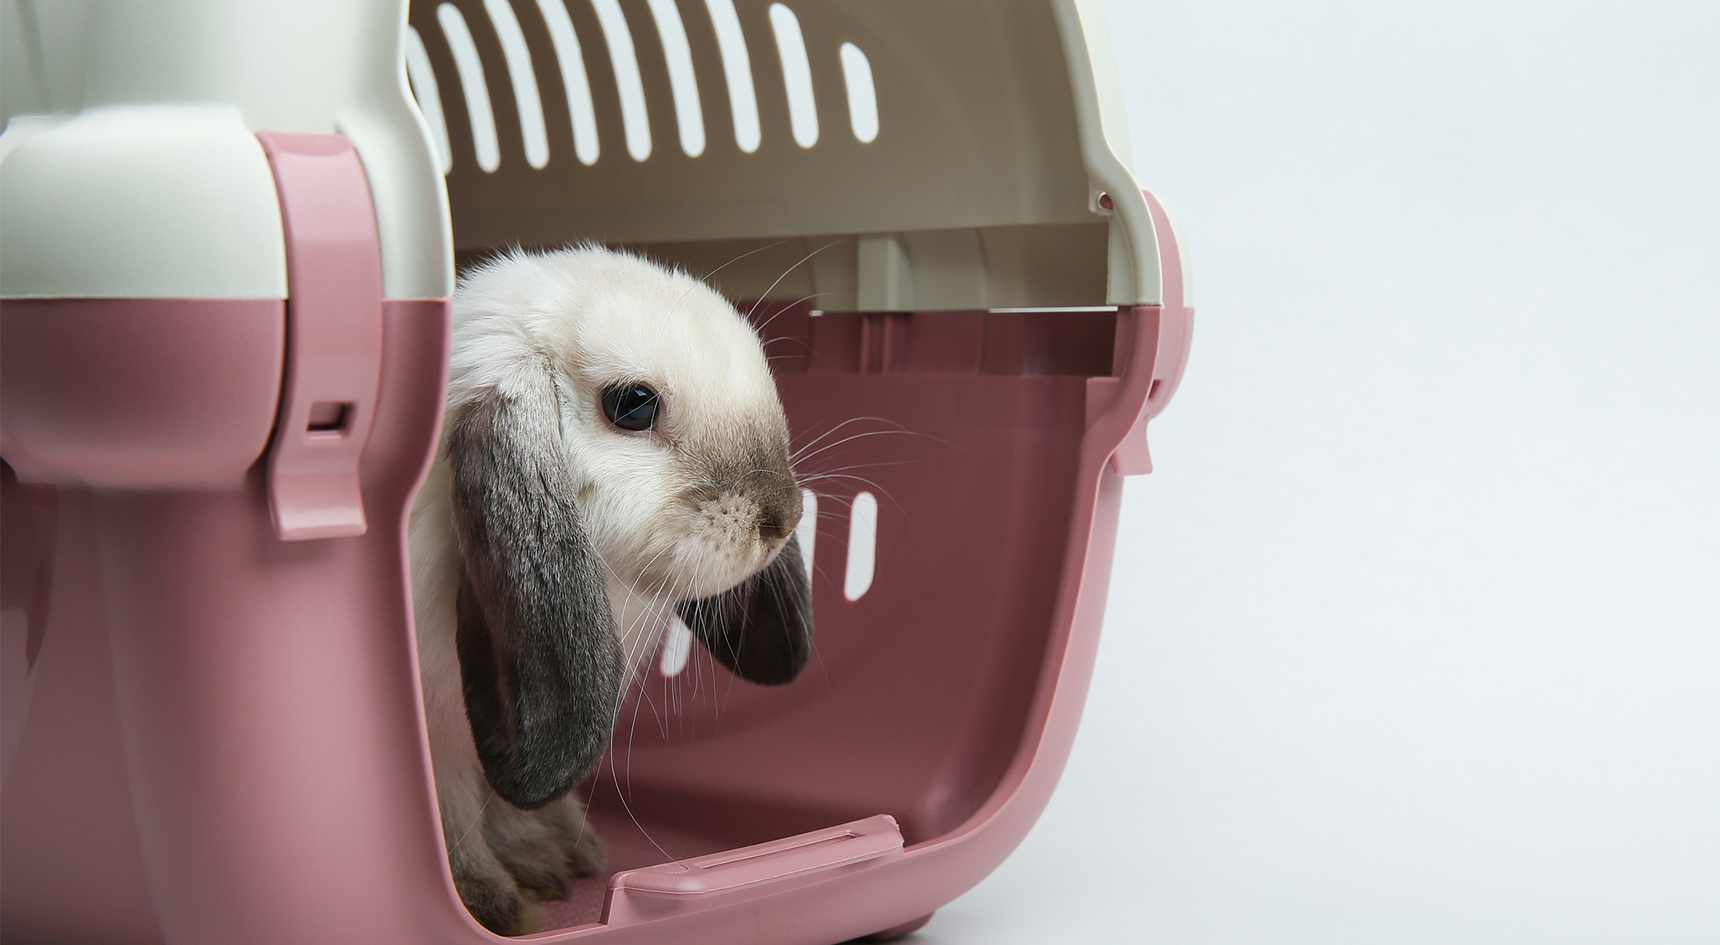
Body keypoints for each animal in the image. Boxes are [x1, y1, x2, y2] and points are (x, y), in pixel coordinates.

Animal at [414, 242, 818, 936]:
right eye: (633, 405)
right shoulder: (439, 734)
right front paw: (491, 900)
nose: (782, 518)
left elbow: (498, 801)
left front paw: (548, 854)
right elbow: (452, 810)